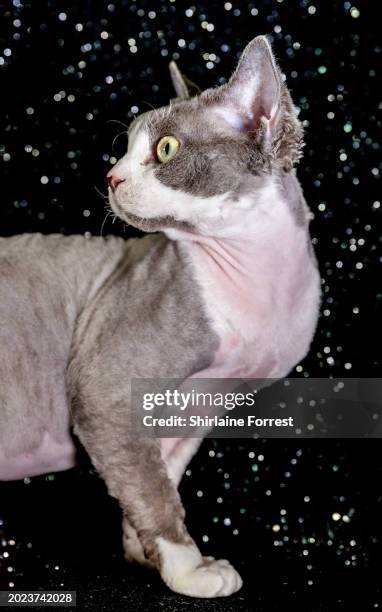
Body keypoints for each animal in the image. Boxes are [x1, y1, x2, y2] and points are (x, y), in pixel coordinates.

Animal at [0, 35, 320, 596]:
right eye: (124, 148)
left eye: (166, 149)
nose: (111, 176)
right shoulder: (106, 387)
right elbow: (153, 488)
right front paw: (190, 568)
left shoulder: (199, 405)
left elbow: (156, 474)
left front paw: (146, 555)